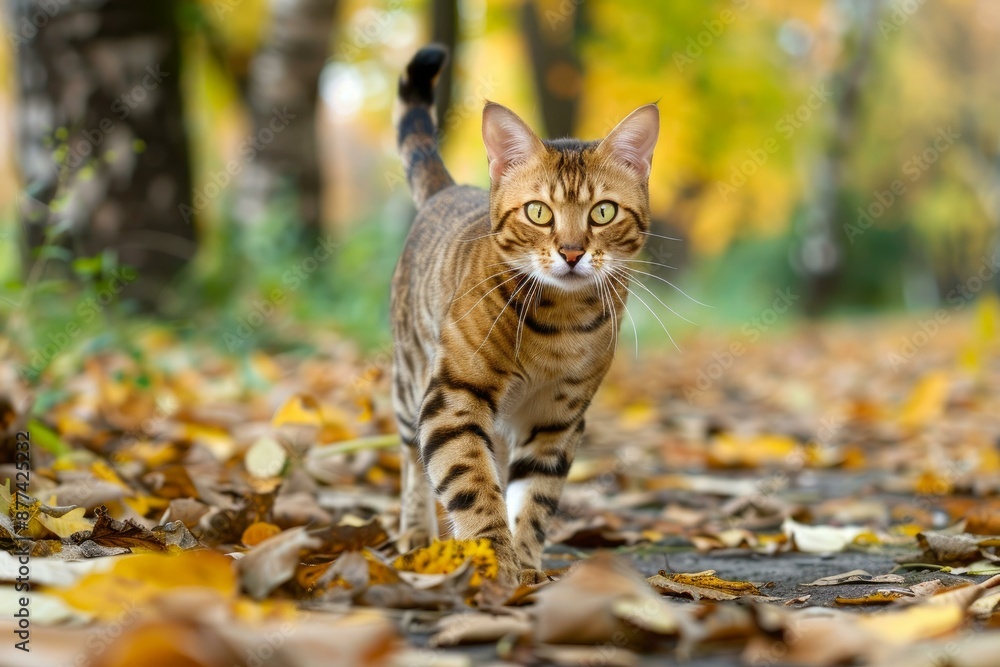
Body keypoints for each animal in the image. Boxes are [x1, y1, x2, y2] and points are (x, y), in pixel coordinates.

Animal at [388, 44, 656, 588]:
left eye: (602, 212)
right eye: (538, 212)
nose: (572, 252)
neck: (561, 324)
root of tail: (449, 189)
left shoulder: (559, 416)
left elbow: (535, 495)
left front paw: (527, 565)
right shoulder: (453, 396)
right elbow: (468, 479)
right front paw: (494, 559)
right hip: (409, 380)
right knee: (410, 459)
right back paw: (416, 532)